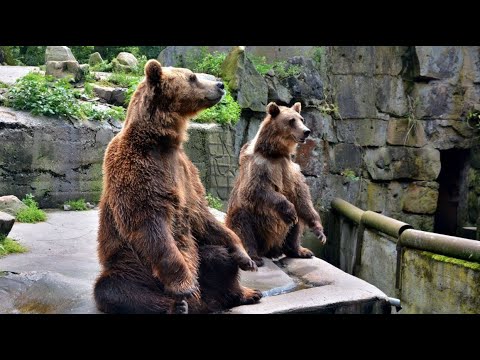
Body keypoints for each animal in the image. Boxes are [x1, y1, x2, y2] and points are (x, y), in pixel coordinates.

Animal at [92, 60, 260, 314]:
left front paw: (244, 255)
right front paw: (184, 286)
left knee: (218, 258)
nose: (220, 85)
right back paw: (178, 304)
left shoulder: (185, 171)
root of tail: (205, 303)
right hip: (132, 266)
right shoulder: (136, 170)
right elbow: (151, 225)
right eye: (192, 77)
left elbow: (202, 215)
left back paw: (245, 293)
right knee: (115, 289)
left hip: (200, 258)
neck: (161, 141)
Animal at [225, 101, 326, 268]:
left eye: (301, 119)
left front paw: (320, 231)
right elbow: (257, 190)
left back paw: (300, 250)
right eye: (291, 120)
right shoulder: (260, 167)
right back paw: (254, 257)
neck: (275, 153)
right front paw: (289, 210)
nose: (306, 131)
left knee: (296, 226)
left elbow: (302, 198)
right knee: (243, 226)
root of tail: (269, 249)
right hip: (249, 219)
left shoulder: (291, 170)